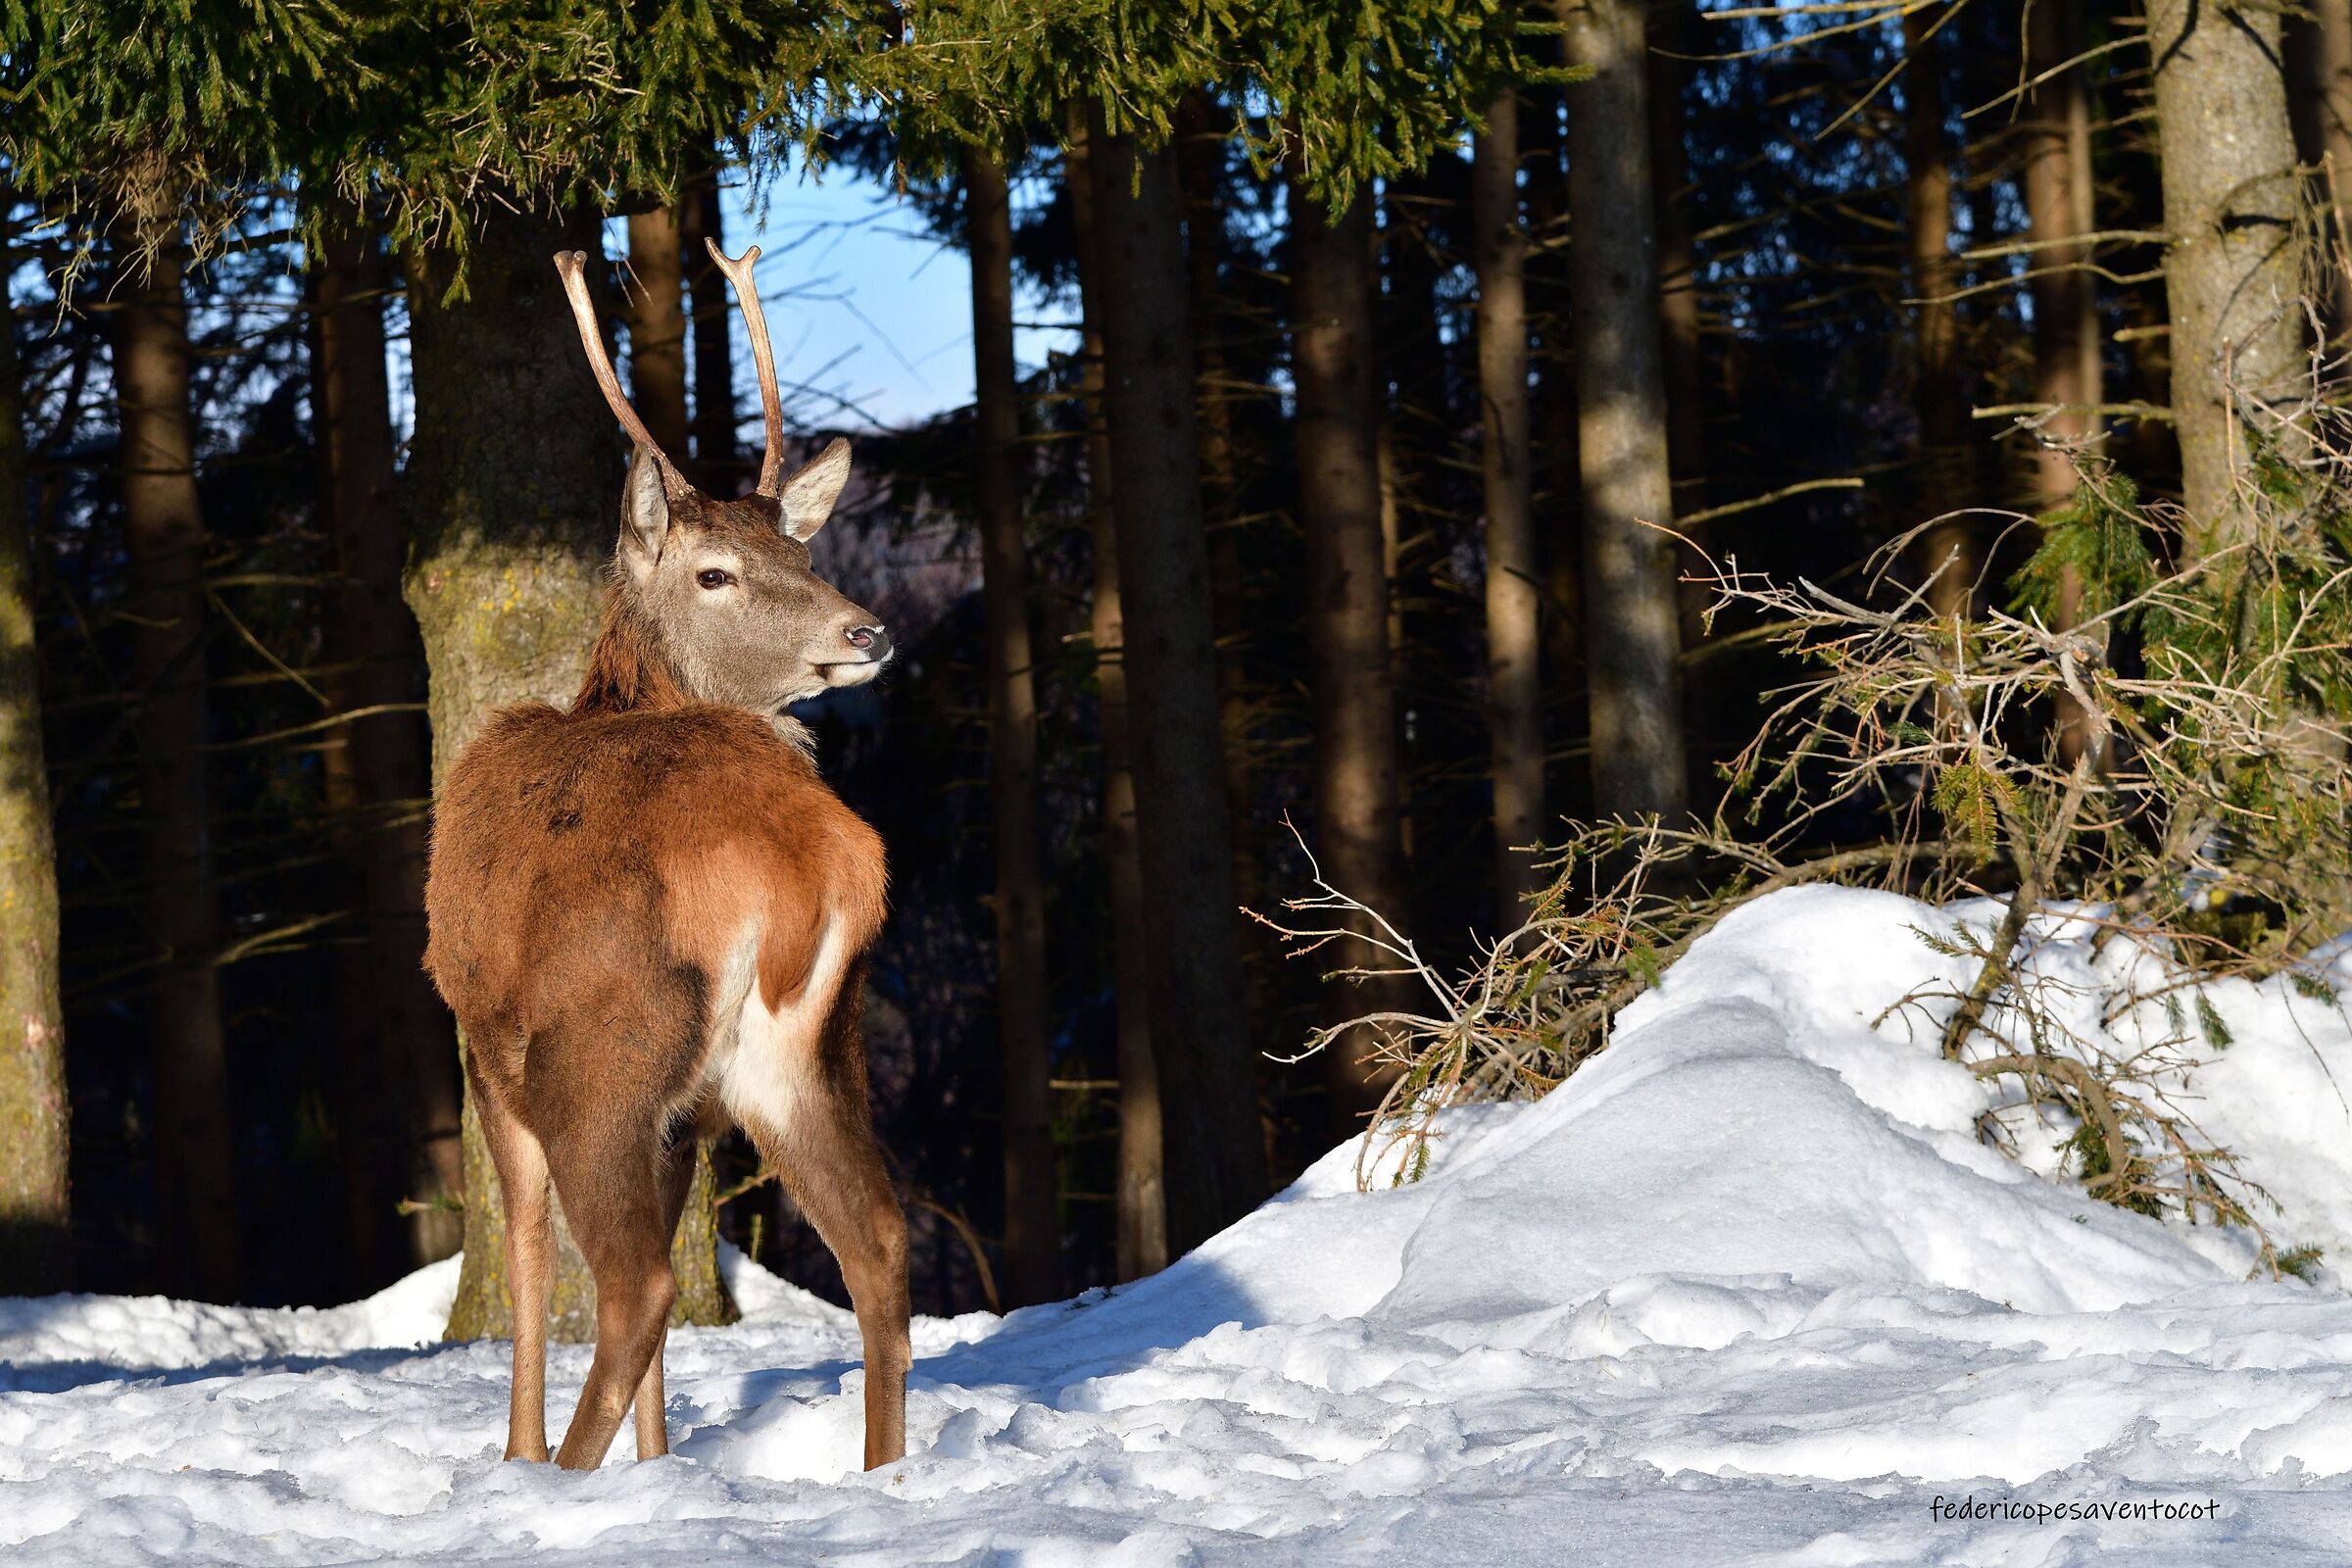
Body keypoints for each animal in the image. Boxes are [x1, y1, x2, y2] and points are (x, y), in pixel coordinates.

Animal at [422, 240, 907, 1473]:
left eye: (799, 548)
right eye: (718, 571)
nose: (867, 629)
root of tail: (810, 859)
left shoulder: (481, 1034)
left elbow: (526, 1243)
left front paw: (521, 1455)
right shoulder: (686, 1115)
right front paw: (659, 1465)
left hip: (602, 1040)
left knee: (632, 1282)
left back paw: (555, 1478)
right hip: (809, 1048)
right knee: (880, 1243)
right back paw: (885, 1472)